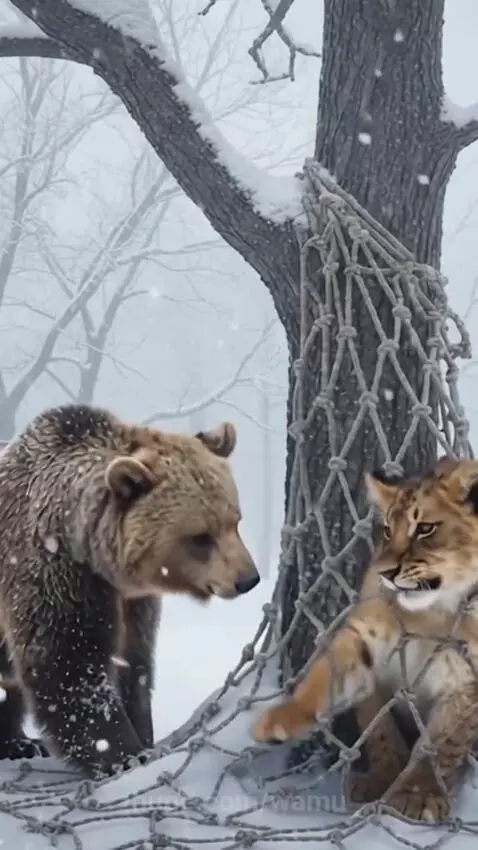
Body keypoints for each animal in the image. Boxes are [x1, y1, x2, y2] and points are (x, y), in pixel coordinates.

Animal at [0, 403, 259, 777]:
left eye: (235, 522)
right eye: (200, 537)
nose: (247, 579)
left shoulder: (133, 601)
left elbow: (133, 663)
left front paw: (142, 734)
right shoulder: (52, 569)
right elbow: (68, 663)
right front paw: (124, 753)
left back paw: (19, 743)